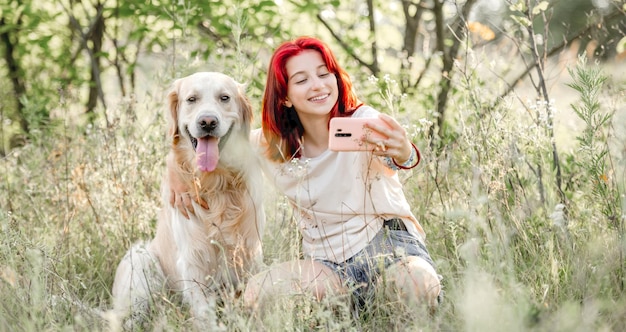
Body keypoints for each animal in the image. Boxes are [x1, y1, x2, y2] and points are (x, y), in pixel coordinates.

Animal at [112, 72, 264, 326]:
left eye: (224, 98)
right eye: (191, 99)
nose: (208, 122)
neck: (216, 183)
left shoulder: (250, 253)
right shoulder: (193, 261)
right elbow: (205, 316)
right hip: (140, 259)